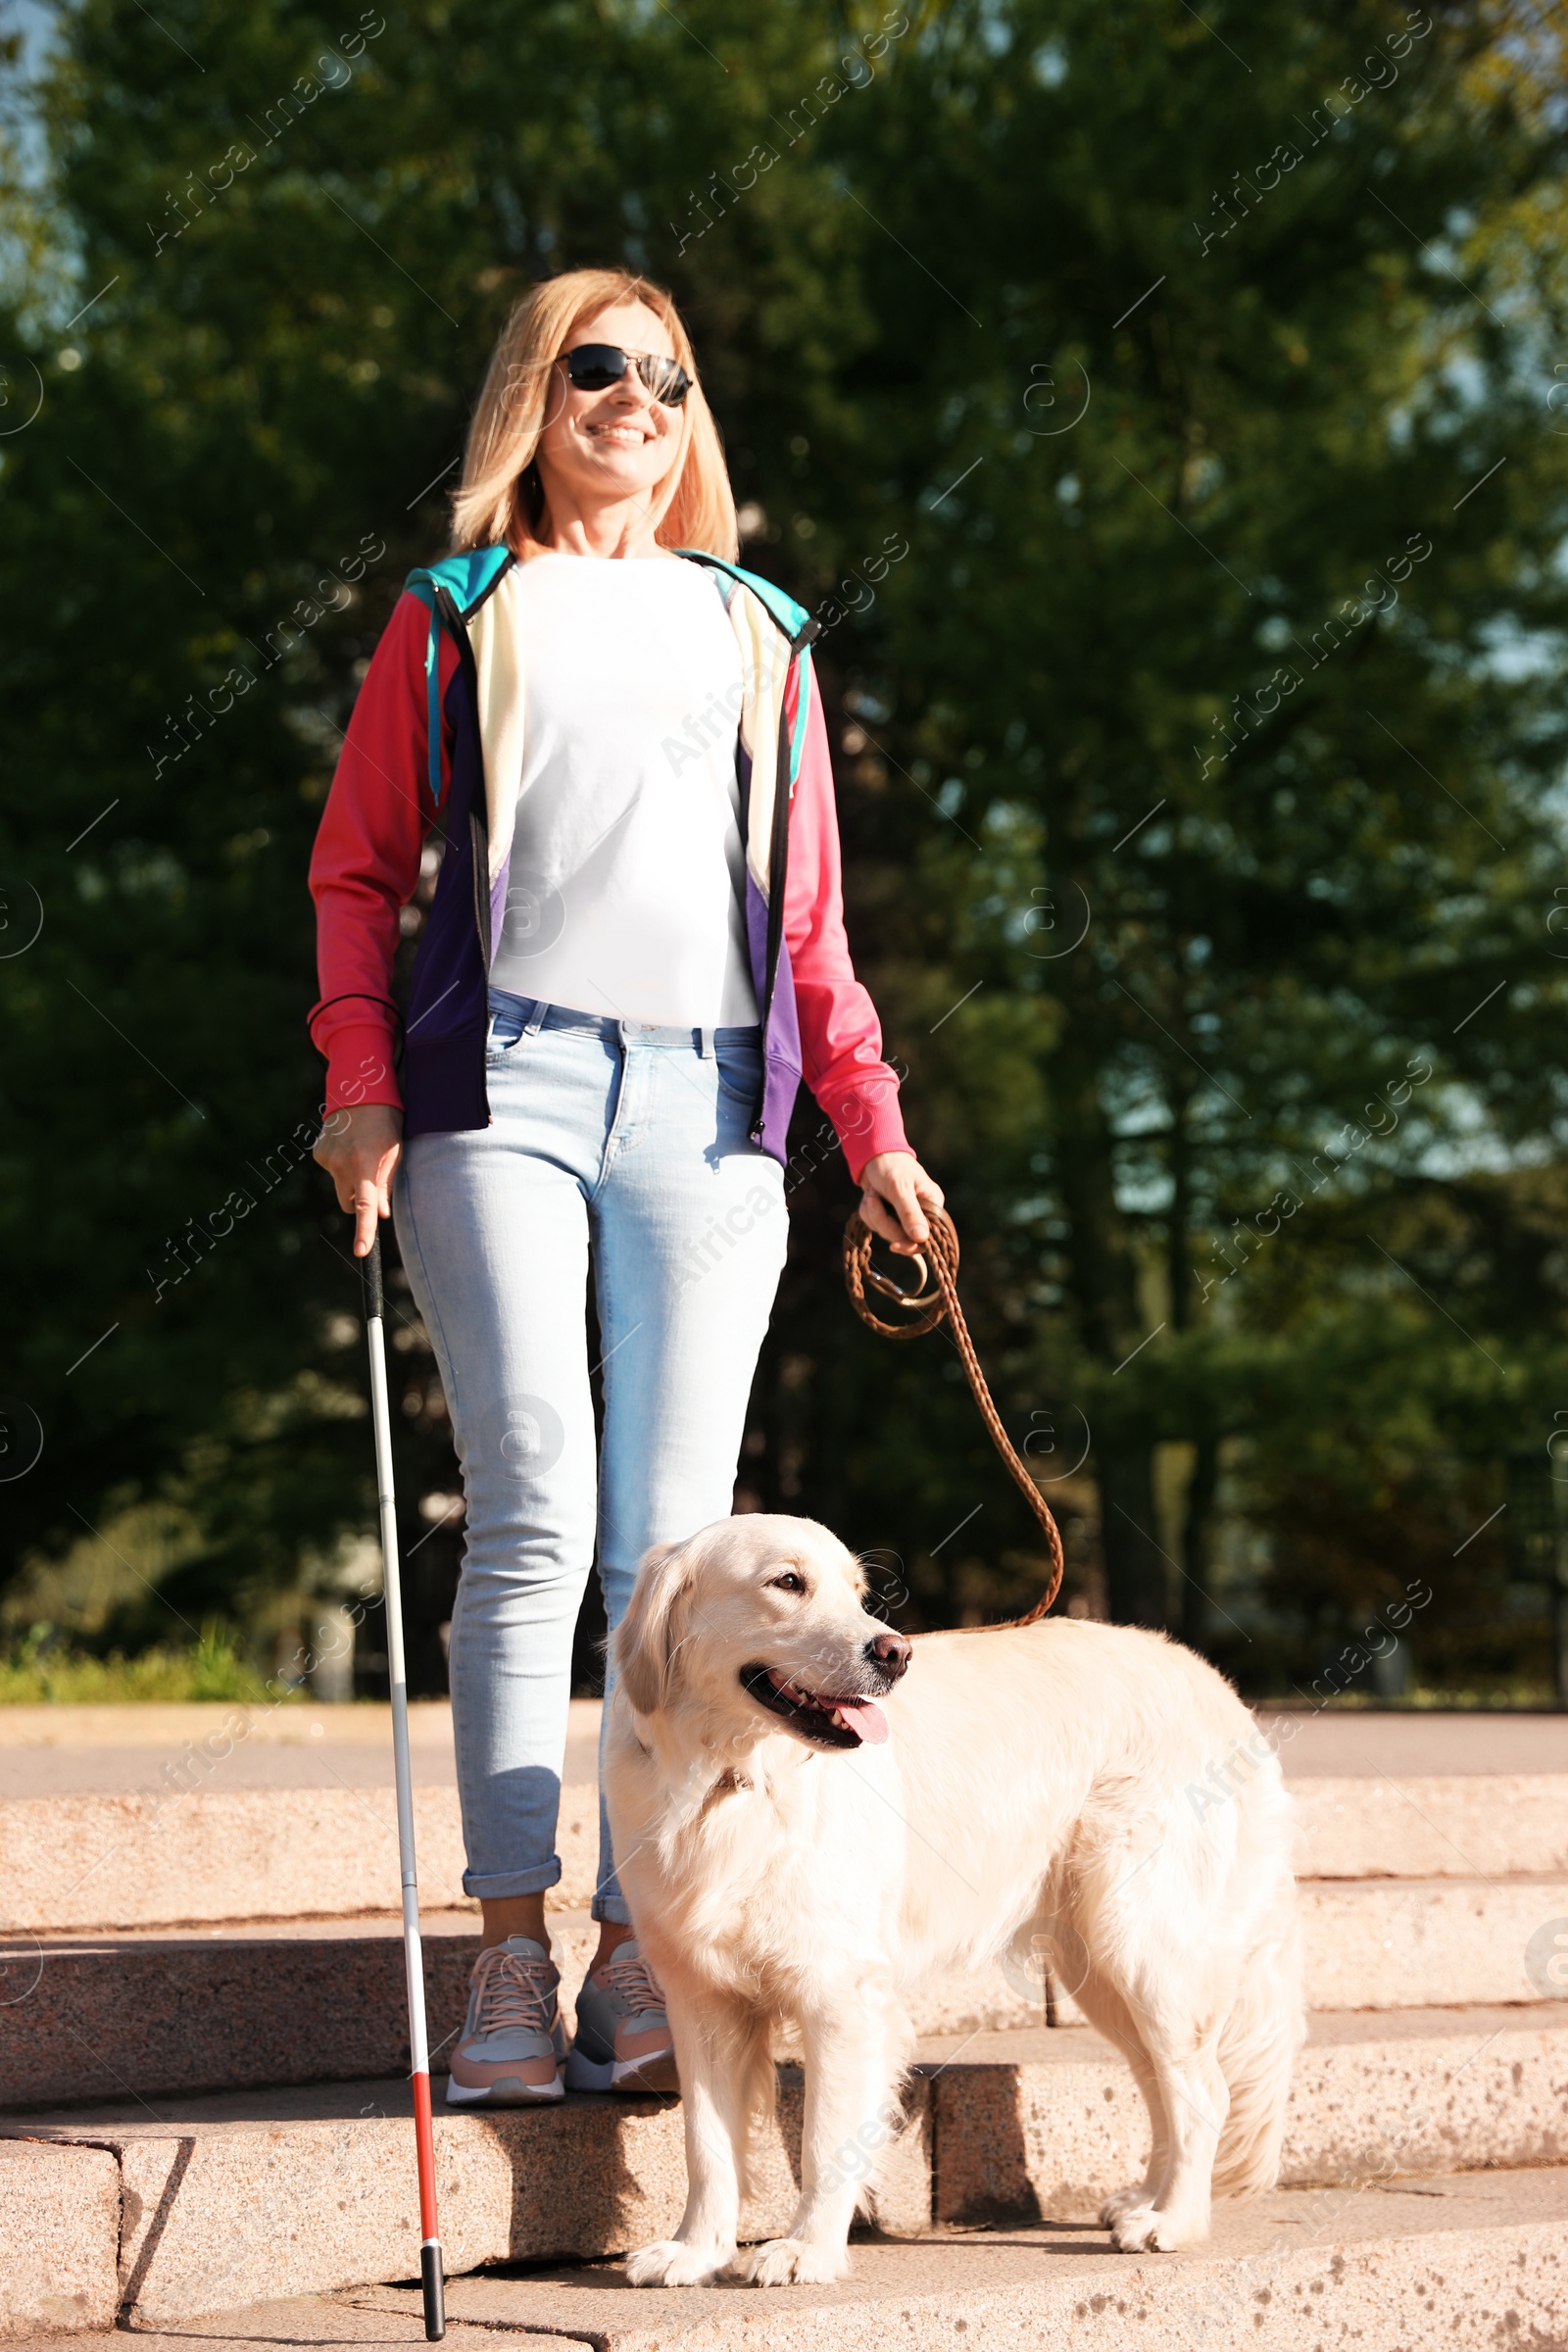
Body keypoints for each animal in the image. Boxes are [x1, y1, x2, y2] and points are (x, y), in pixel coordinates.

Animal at [606, 1514, 1306, 2285]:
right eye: (787, 1582)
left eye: (859, 1592)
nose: (895, 1653)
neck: (729, 1780)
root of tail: (1218, 1687)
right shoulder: (701, 1998)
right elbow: (705, 2143)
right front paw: (695, 2251)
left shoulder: (843, 1999)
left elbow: (824, 2143)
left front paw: (807, 2251)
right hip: (1098, 1960)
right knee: (1160, 2078)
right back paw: (1145, 2200)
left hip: (1144, 1942)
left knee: (1202, 2089)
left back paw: (1173, 2220)